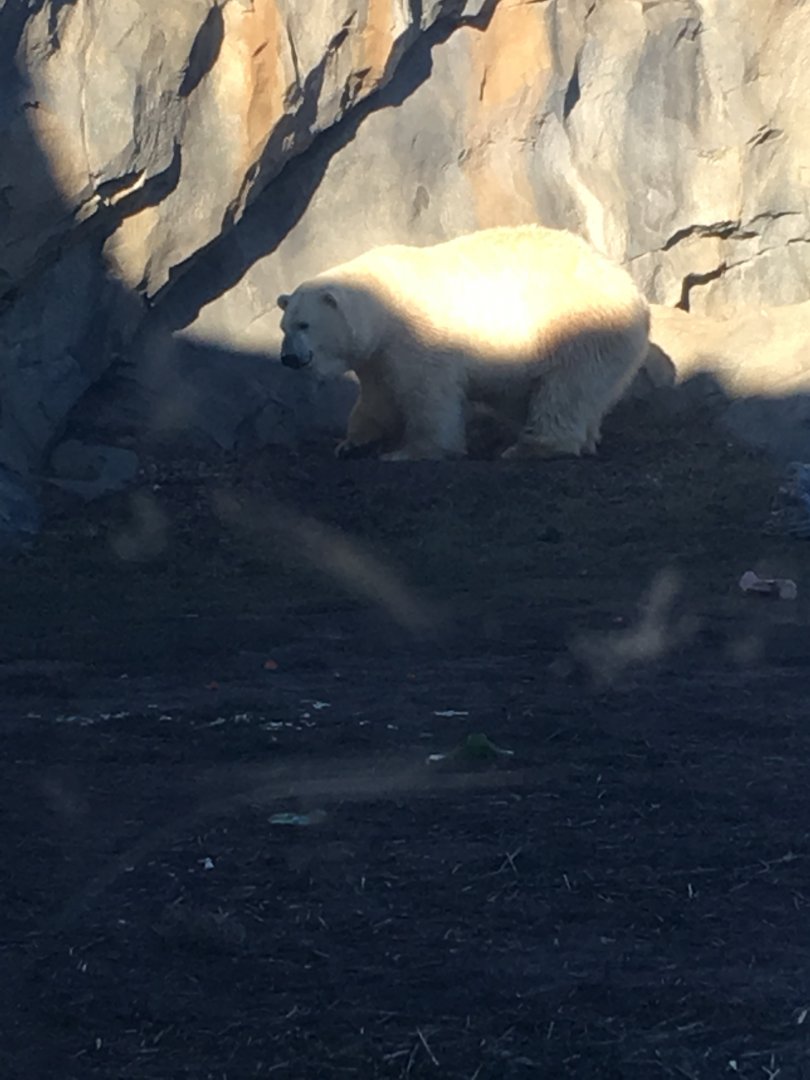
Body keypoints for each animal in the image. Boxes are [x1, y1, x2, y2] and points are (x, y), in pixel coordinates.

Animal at [277, 224, 650, 461]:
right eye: (284, 327)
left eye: (304, 324)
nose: (288, 358)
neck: (383, 302)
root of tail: (634, 293)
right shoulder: (377, 357)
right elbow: (377, 398)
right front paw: (351, 444)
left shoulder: (415, 337)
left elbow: (428, 396)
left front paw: (408, 452)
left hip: (577, 323)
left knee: (565, 388)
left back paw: (531, 447)